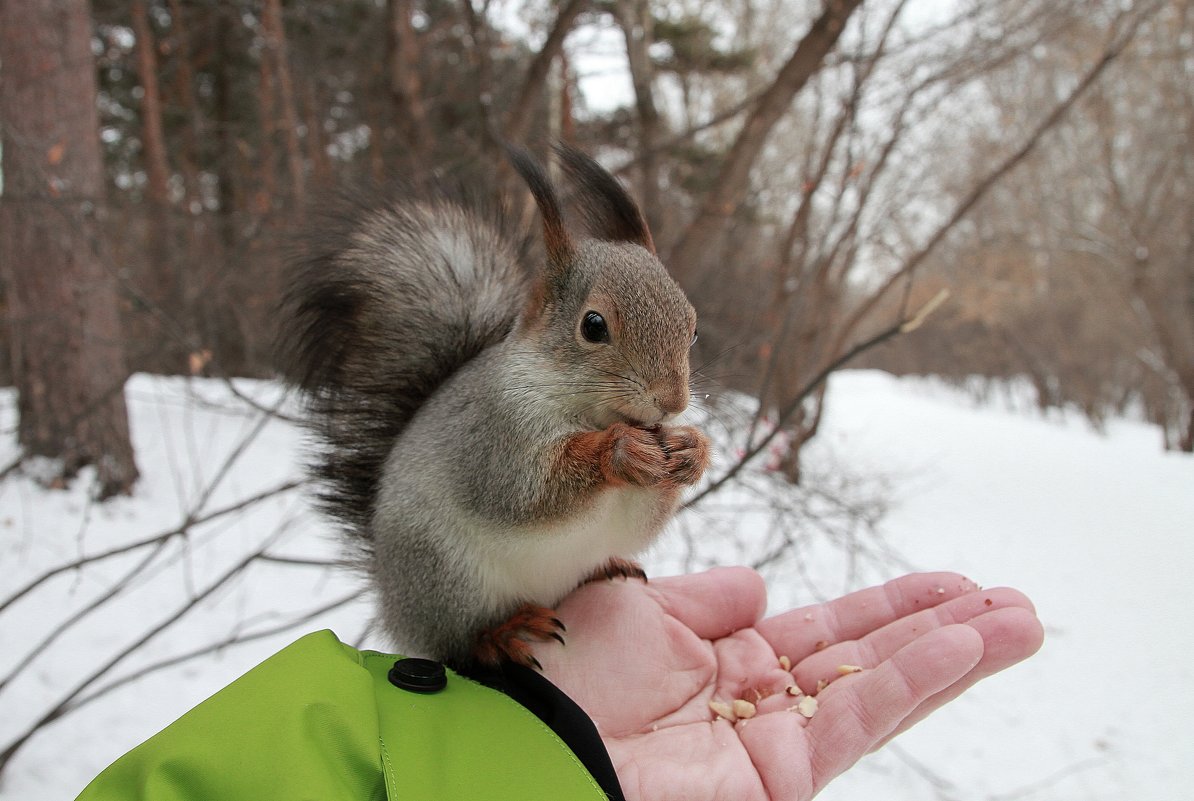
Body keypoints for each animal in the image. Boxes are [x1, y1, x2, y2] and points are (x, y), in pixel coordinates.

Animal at [279, 145, 706, 668]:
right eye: (593, 325)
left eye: (692, 328)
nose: (672, 402)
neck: (591, 412)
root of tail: (393, 600)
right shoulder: (495, 433)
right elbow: (526, 491)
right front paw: (620, 450)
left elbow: (638, 523)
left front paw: (691, 450)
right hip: (445, 576)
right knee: (458, 642)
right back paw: (502, 633)